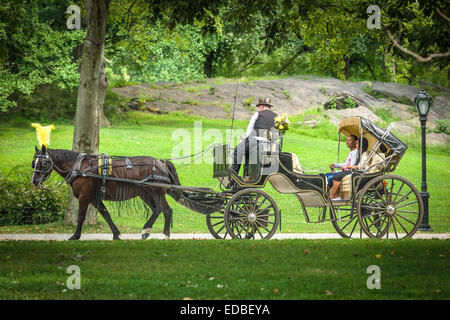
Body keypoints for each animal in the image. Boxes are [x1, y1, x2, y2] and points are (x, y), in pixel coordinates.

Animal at [31, 145, 181, 240]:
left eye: (44, 163)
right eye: (34, 162)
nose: (34, 181)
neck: (79, 168)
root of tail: (161, 162)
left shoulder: (84, 196)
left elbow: (81, 217)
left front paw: (75, 236)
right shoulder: (94, 198)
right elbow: (106, 214)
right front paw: (116, 234)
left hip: (157, 192)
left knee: (165, 210)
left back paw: (162, 233)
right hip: (145, 193)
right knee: (158, 210)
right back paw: (149, 232)